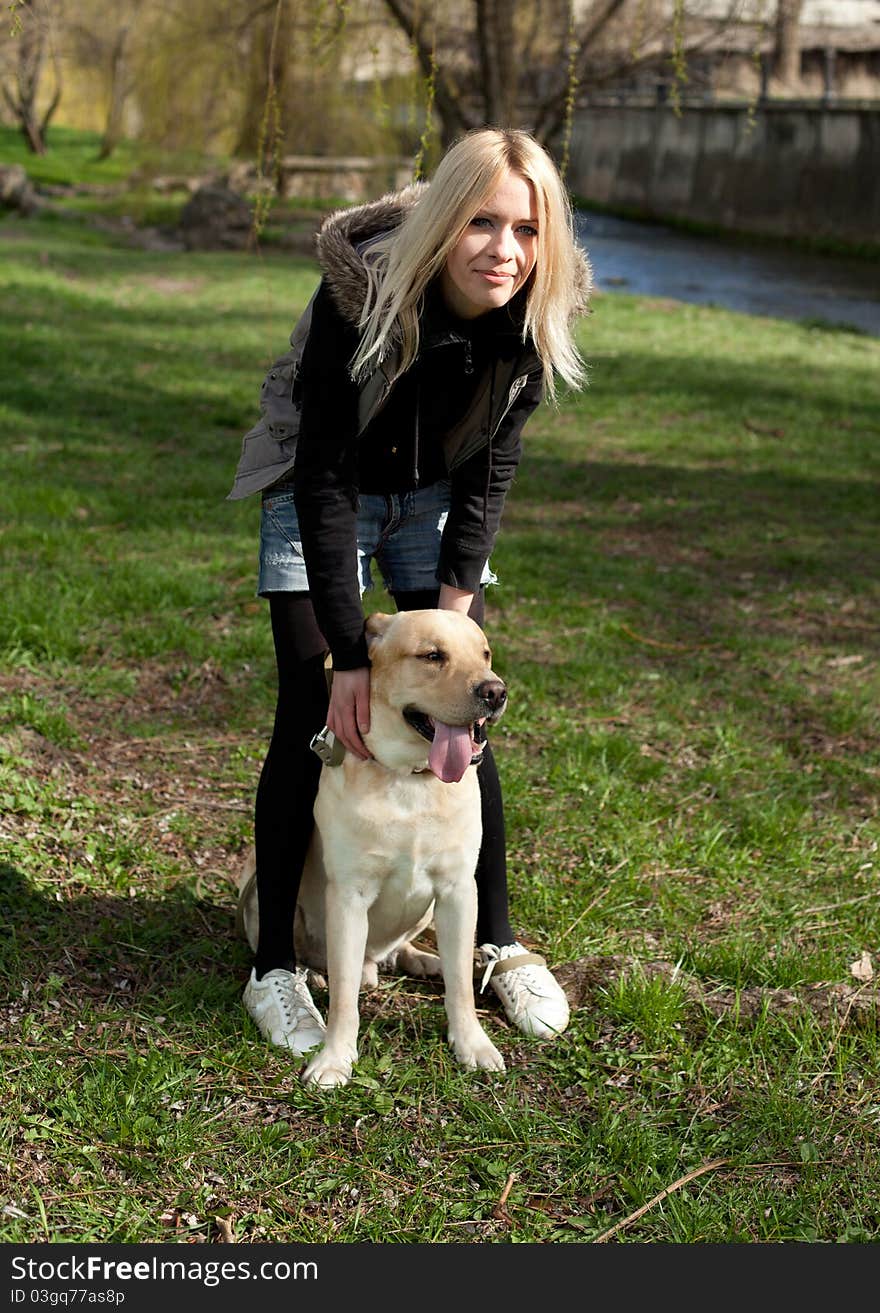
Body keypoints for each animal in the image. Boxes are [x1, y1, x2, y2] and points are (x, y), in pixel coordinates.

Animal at [237, 603, 509, 1087]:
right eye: (432, 655)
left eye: (485, 654)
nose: (495, 691)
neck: (411, 779)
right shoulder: (348, 896)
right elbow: (345, 997)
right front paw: (334, 1059)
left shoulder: (459, 890)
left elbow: (460, 984)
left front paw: (472, 1044)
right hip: (260, 897)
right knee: (328, 964)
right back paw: (311, 977)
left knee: (402, 952)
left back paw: (424, 960)